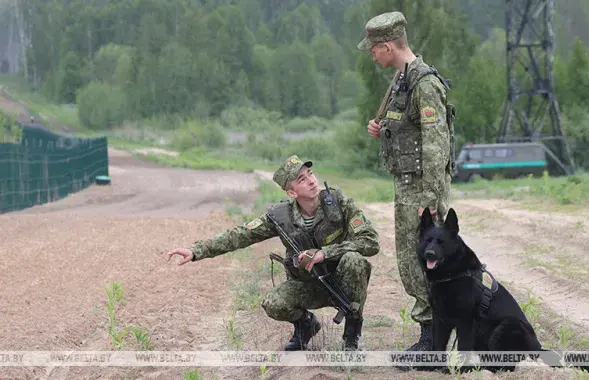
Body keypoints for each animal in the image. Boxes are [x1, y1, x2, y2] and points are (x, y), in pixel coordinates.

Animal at [416, 208, 584, 372]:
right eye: (428, 241)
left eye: (441, 242)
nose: (429, 254)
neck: (453, 275)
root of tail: (538, 348)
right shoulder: (439, 320)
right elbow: (437, 345)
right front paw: (433, 368)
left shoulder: (466, 321)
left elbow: (463, 347)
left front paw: (460, 370)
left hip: (505, 326)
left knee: (504, 365)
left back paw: (478, 368)